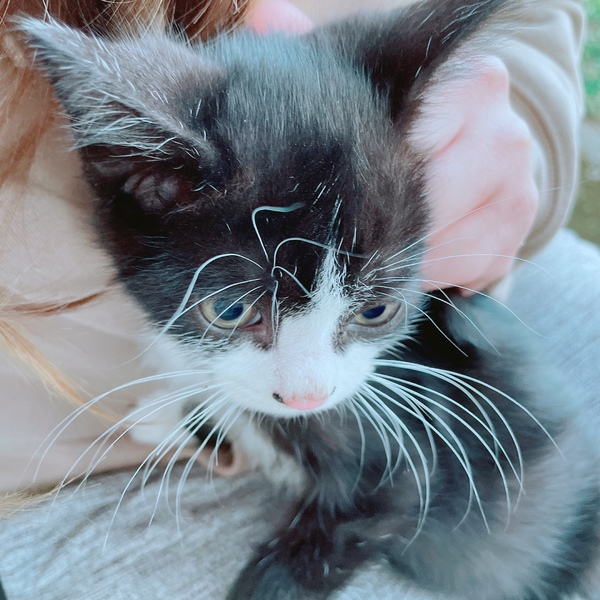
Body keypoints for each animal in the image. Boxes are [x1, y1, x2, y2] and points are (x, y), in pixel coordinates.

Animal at [18, 0, 600, 598]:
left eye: (376, 310)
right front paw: (172, 410)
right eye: (230, 311)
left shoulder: (413, 447)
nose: (306, 398)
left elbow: (348, 528)